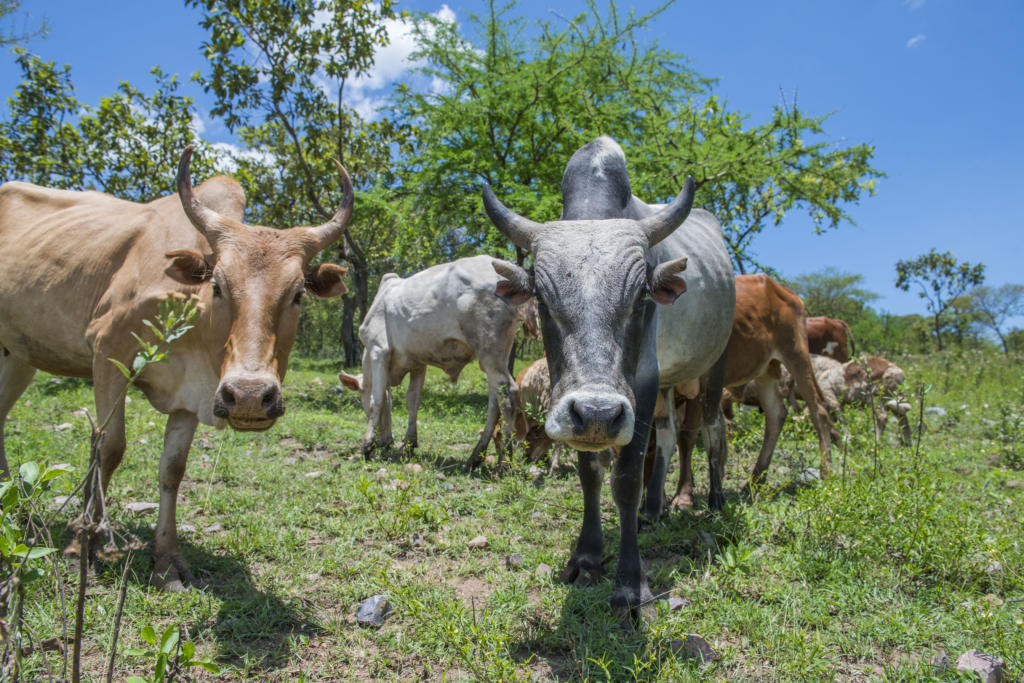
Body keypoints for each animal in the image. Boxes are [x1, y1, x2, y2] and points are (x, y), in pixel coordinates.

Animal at [0, 147, 352, 590]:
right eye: (217, 285)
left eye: (298, 293)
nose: (249, 396)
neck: (192, 316)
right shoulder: (107, 354)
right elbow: (108, 449)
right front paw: (84, 542)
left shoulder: (193, 395)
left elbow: (172, 469)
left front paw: (166, 558)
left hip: (17, 357)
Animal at [337, 255, 528, 467]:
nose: (385, 441)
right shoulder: (418, 363)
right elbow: (412, 400)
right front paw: (409, 444)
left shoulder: (378, 350)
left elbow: (376, 401)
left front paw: (365, 448)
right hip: (499, 354)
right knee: (495, 401)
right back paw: (474, 458)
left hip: (489, 350)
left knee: (507, 394)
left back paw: (504, 462)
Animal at [480, 136, 735, 616]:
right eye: (542, 299)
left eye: (641, 298)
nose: (598, 413)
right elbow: (591, 473)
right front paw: (586, 557)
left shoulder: (643, 380)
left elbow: (626, 479)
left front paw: (630, 587)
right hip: (669, 384)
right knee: (668, 436)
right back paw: (653, 510)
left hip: (713, 367)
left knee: (713, 431)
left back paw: (713, 501)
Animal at [645, 274, 835, 509]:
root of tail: (786, 292)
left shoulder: (698, 387)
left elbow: (686, 436)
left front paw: (683, 495)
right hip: (765, 370)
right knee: (776, 415)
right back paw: (755, 481)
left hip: (796, 354)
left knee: (819, 411)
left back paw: (826, 471)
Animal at [783, 354, 912, 446]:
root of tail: (899, 374)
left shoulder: (830, 395)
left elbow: (840, 417)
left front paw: (847, 438)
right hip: (893, 397)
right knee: (903, 418)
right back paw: (907, 445)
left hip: (876, 396)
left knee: (882, 416)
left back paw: (876, 443)